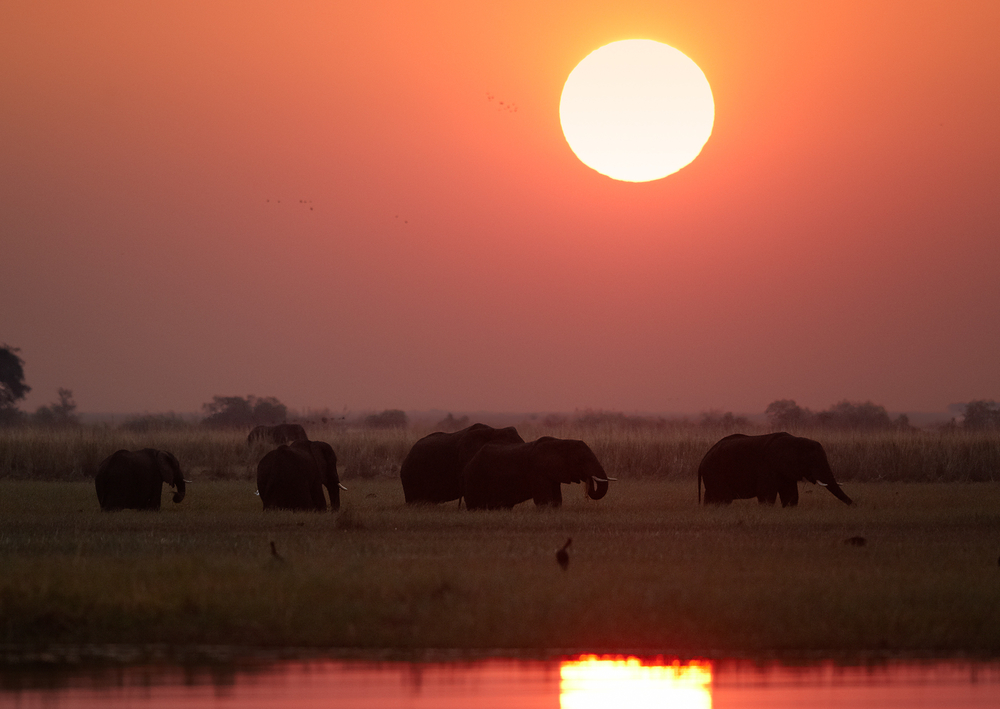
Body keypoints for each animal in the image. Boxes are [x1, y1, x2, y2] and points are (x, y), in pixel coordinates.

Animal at [460, 436, 612, 510]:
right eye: (581, 460)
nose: (588, 480)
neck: (562, 442)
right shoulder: (537, 471)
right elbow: (543, 501)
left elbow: (557, 500)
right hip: (474, 479)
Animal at [697, 432, 852, 507]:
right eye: (811, 461)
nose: (855, 505)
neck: (794, 440)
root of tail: (702, 459)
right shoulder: (767, 466)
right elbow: (766, 495)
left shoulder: (786, 471)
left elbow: (790, 495)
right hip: (715, 471)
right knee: (724, 499)